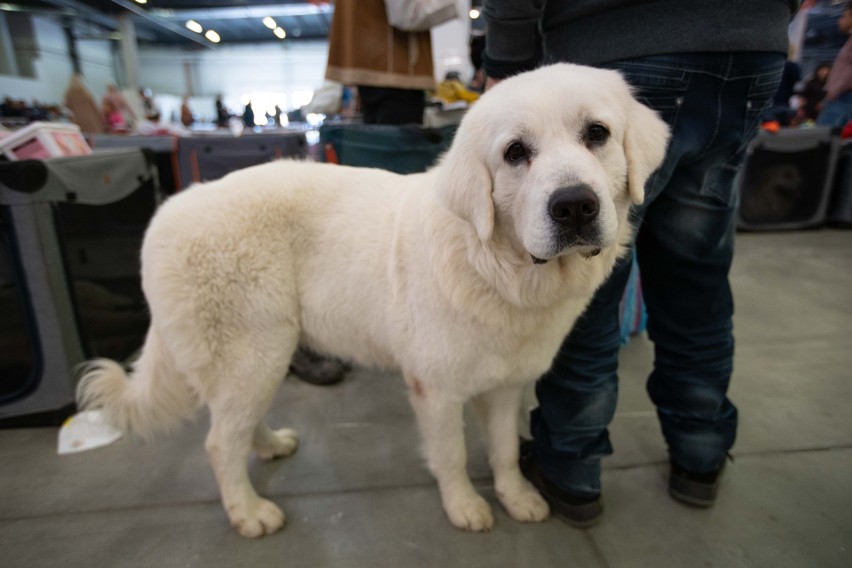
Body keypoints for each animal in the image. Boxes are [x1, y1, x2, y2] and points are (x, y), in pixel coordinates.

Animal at [78, 64, 664, 540]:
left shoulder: (505, 386)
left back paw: (268, 446)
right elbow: (451, 455)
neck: (494, 263)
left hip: (262, 357)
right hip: (255, 352)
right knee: (220, 442)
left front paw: (517, 498)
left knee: (236, 422)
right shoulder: (436, 390)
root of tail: (171, 209)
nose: (574, 206)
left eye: (596, 134)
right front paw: (464, 508)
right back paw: (249, 513)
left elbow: (502, 453)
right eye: (515, 153)